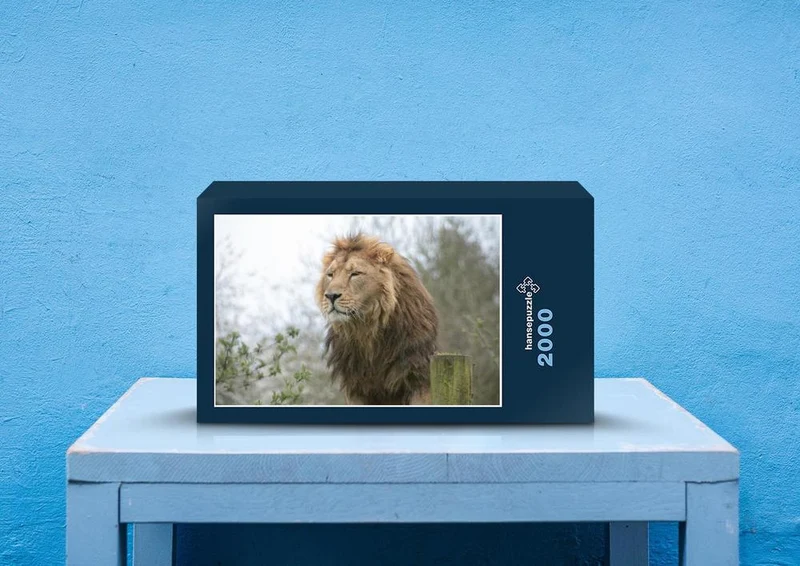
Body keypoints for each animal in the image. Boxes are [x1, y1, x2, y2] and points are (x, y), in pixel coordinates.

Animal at [315, 233, 439, 405]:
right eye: (330, 275)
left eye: (355, 274)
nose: (331, 296)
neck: (367, 328)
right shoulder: (355, 387)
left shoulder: (418, 377)